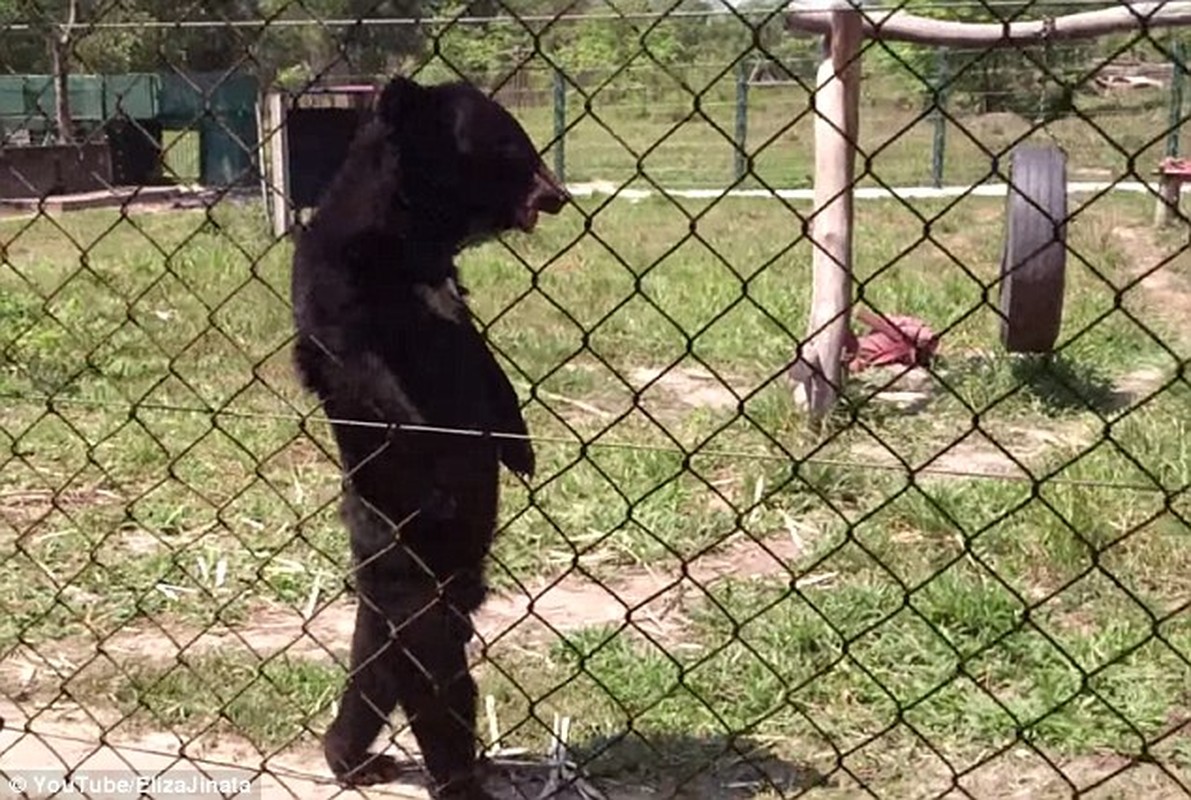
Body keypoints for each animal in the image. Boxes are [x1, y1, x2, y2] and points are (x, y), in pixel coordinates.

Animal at [288, 75, 566, 800]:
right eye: (514, 149)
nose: (558, 195)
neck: (411, 242)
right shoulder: (341, 289)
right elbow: (364, 369)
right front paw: (426, 436)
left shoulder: (453, 300)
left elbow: (486, 365)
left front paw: (522, 451)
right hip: (403, 555)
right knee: (433, 669)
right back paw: (456, 777)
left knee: (383, 658)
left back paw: (353, 757)